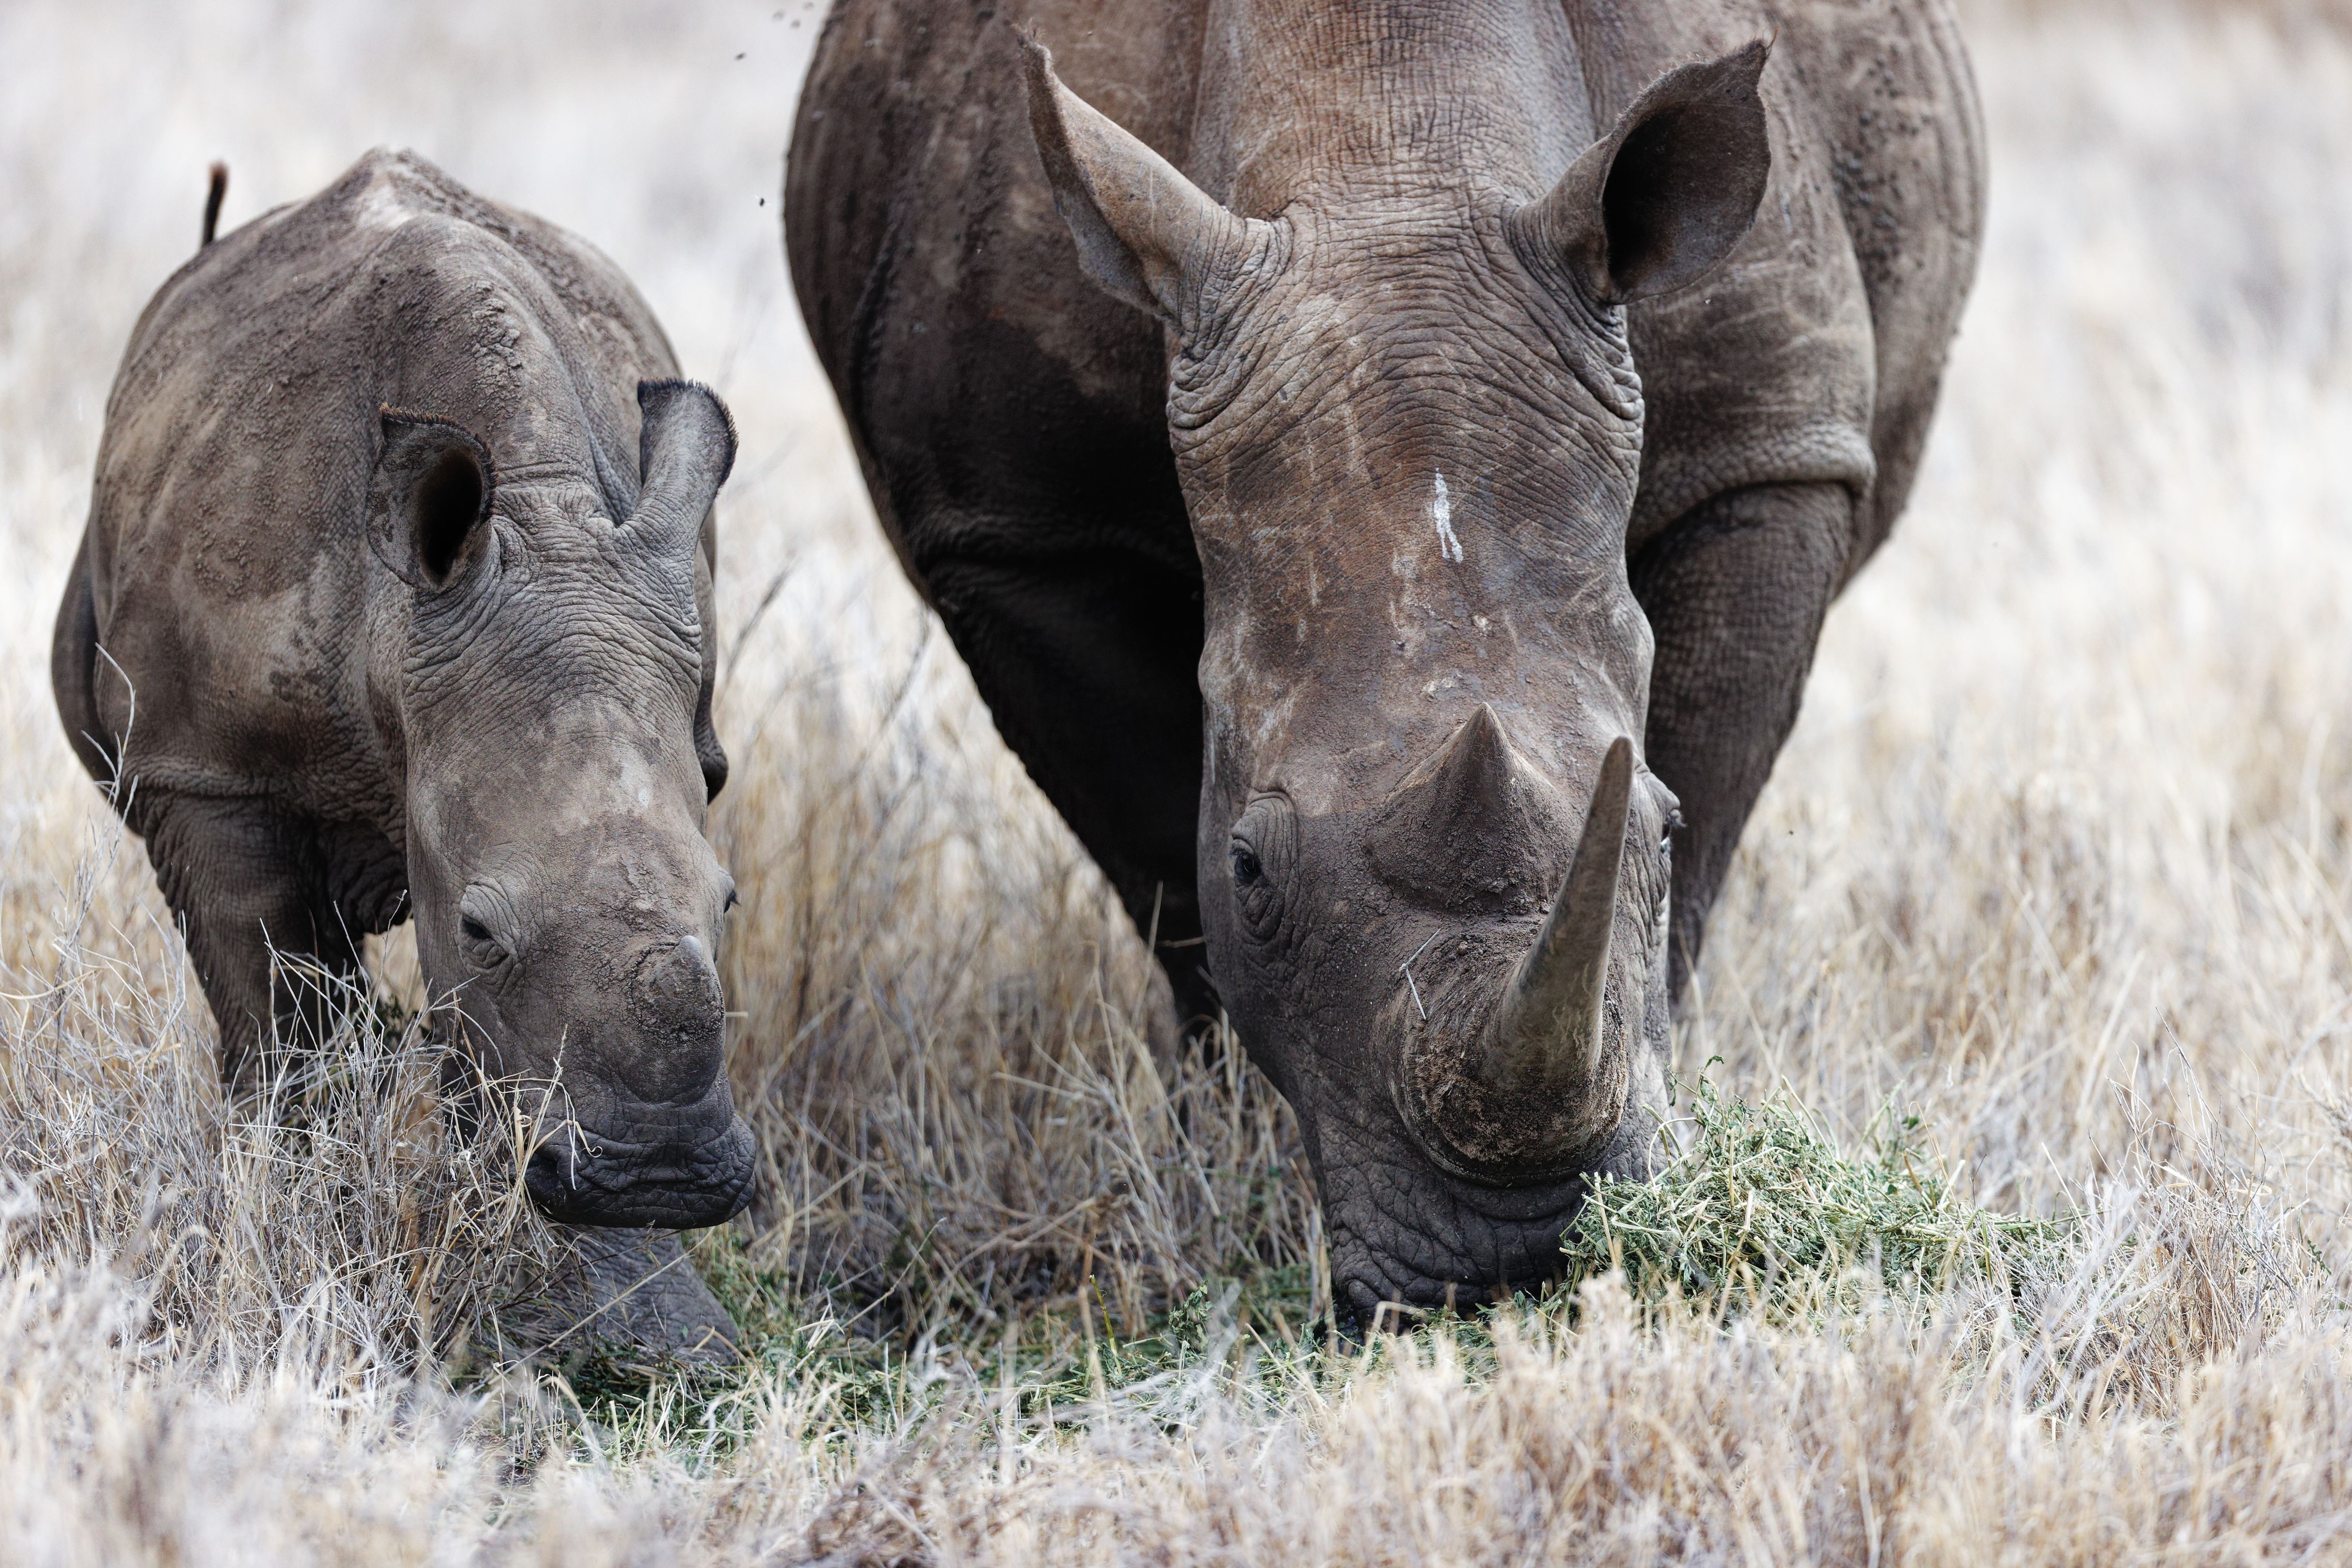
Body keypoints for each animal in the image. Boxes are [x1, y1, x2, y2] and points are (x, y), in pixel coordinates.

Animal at [52, 149, 755, 1353]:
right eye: (479, 929)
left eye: (731, 905)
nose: (660, 1179)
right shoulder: (206, 770)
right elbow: (277, 1015)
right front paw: (296, 1227)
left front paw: (643, 1327)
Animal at [787, 1, 1983, 1321]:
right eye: (1251, 865)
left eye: (1658, 833)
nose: (1513, 1262)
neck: (1393, 166)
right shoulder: (1019, 525)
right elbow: (1158, 863)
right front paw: (1228, 1144)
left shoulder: (1769, 451)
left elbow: (1708, 813)